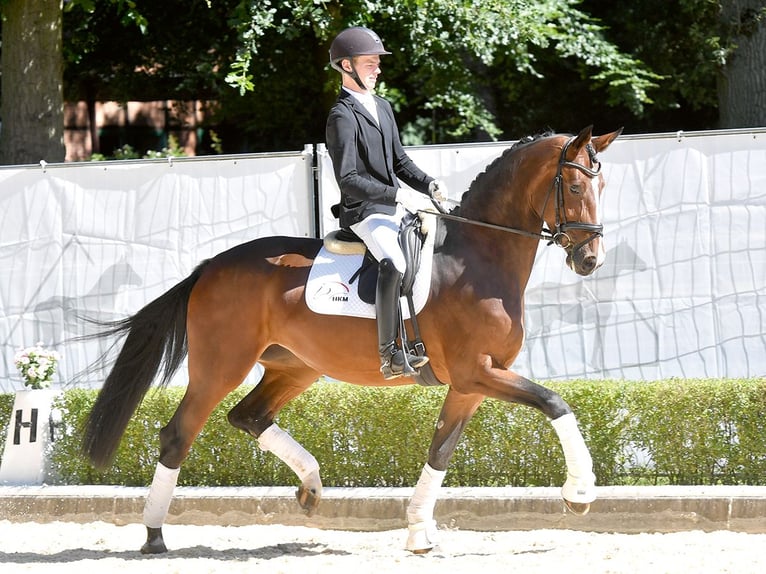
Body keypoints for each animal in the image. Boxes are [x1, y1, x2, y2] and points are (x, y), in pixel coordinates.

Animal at [82, 126, 624, 560]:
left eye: (603, 186)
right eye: (576, 185)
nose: (591, 259)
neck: (478, 257)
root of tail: (210, 267)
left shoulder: (470, 384)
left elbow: (440, 451)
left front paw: (419, 534)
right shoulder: (479, 372)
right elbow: (555, 403)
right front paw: (579, 493)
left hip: (296, 366)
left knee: (250, 416)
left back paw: (310, 487)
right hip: (221, 366)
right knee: (179, 434)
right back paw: (154, 535)